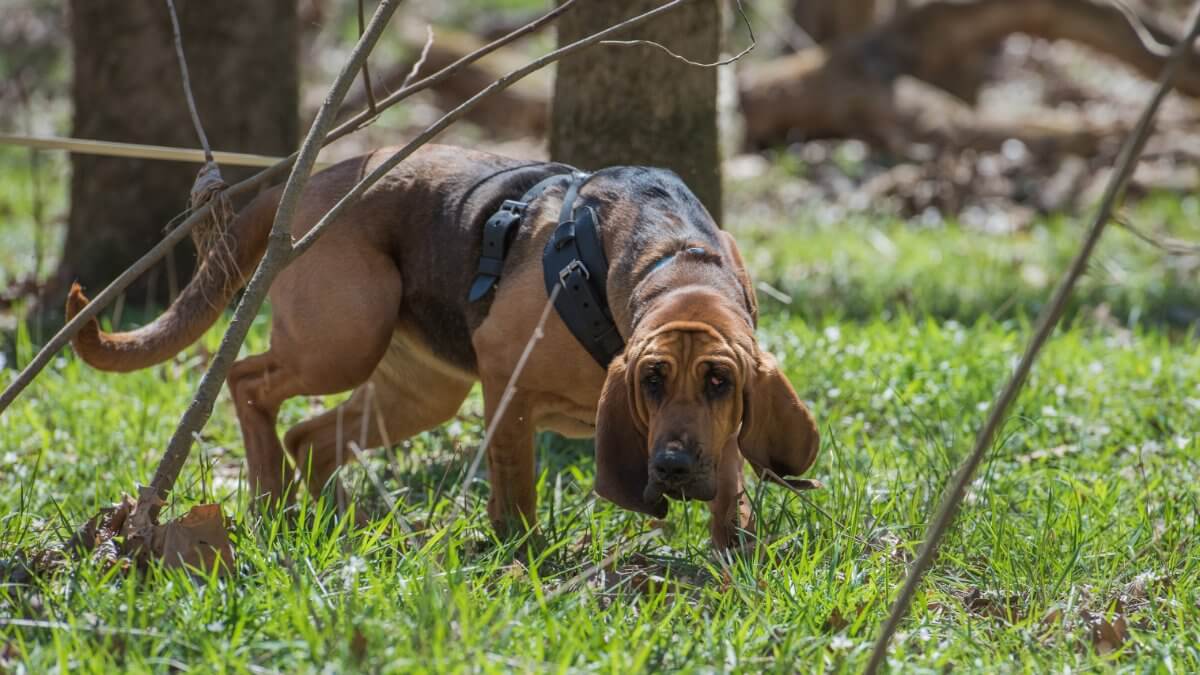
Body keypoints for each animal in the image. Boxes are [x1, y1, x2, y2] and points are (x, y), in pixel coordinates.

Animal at [65, 142, 816, 547]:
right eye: (651, 381)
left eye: (720, 383)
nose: (674, 466)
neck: (674, 258)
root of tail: (317, 180)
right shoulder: (508, 389)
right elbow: (516, 488)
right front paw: (523, 554)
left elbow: (733, 488)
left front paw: (732, 552)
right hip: (345, 340)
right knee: (247, 381)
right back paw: (272, 495)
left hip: (419, 391)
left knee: (311, 435)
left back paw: (324, 517)